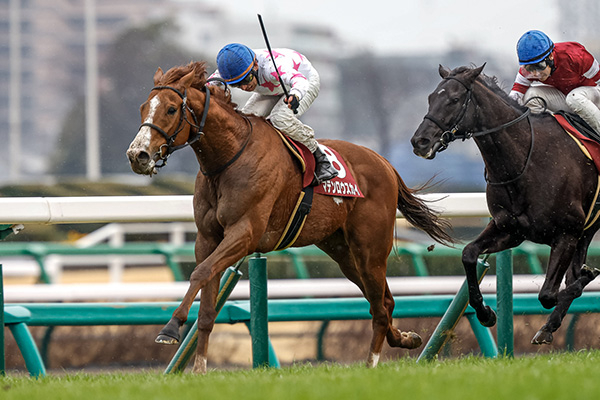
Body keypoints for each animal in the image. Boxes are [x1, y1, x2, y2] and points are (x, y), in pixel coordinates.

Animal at [127, 61, 454, 374]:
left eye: (171, 109)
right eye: (143, 107)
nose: (137, 155)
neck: (228, 158)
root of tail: (384, 162)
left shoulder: (244, 233)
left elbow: (200, 272)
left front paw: (171, 328)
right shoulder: (208, 238)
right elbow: (207, 301)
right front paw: (199, 368)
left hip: (370, 249)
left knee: (380, 307)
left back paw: (371, 363)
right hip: (343, 252)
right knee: (383, 301)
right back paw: (406, 339)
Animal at [410, 64, 600, 346]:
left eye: (454, 99)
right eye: (431, 98)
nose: (420, 141)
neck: (526, 160)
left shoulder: (567, 233)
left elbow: (549, 294)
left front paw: (586, 277)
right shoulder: (510, 230)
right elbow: (469, 254)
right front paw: (486, 313)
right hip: (586, 231)